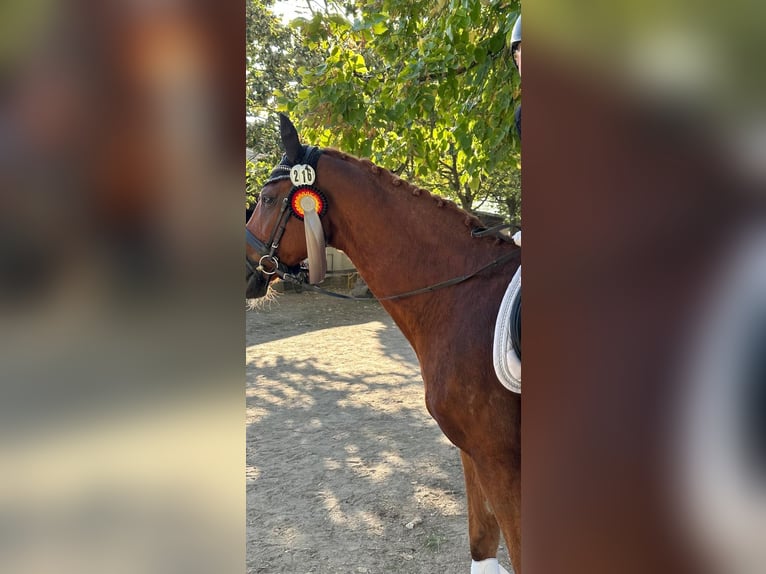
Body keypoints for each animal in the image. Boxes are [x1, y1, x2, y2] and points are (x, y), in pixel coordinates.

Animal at [246, 115, 521, 574]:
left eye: (267, 199)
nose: (245, 271)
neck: (465, 296)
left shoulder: (501, 462)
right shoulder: (473, 453)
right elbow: (481, 542)